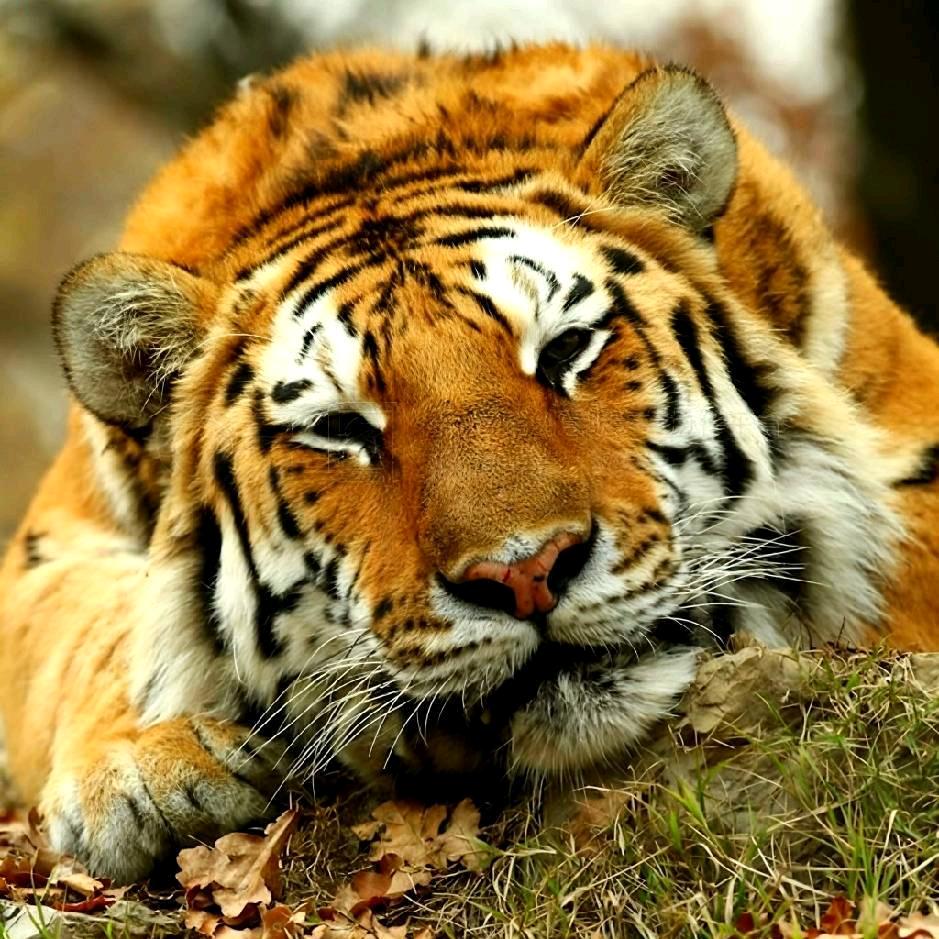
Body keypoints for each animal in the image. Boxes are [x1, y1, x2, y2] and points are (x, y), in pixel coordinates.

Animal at [2, 42, 939, 882]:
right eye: (340, 427)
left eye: (563, 351)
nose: (526, 573)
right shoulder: (49, 551)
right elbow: (94, 631)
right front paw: (143, 768)